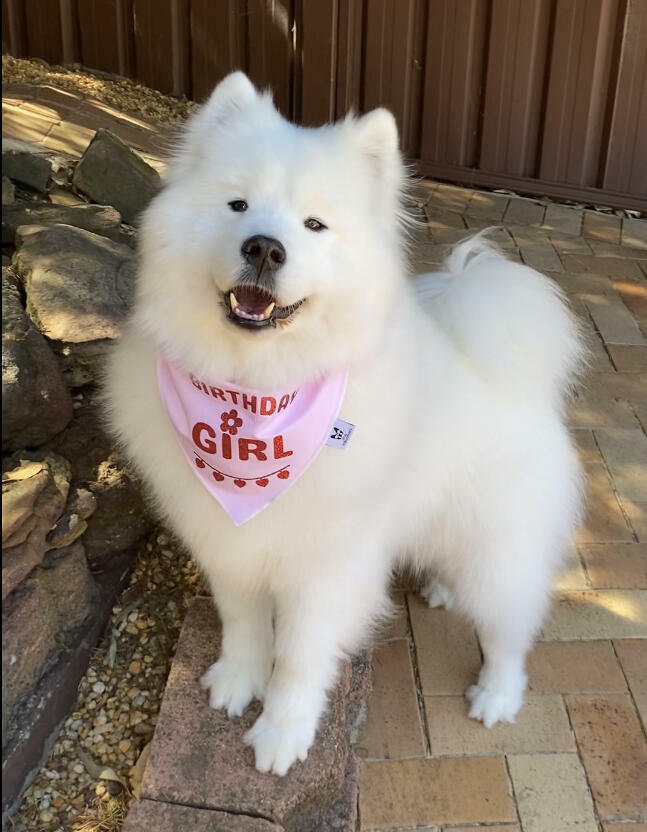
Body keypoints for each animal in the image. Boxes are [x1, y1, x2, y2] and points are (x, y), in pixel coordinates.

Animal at [104, 73, 584, 780]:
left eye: (314, 225)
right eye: (238, 205)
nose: (264, 247)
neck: (258, 392)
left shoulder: (326, 567)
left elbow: (300, 658)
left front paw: (281, 735)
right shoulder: (228, 543)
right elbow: (243, 623)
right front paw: (236, 682)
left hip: (499, 549)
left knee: (509, 628)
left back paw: (496, 696)